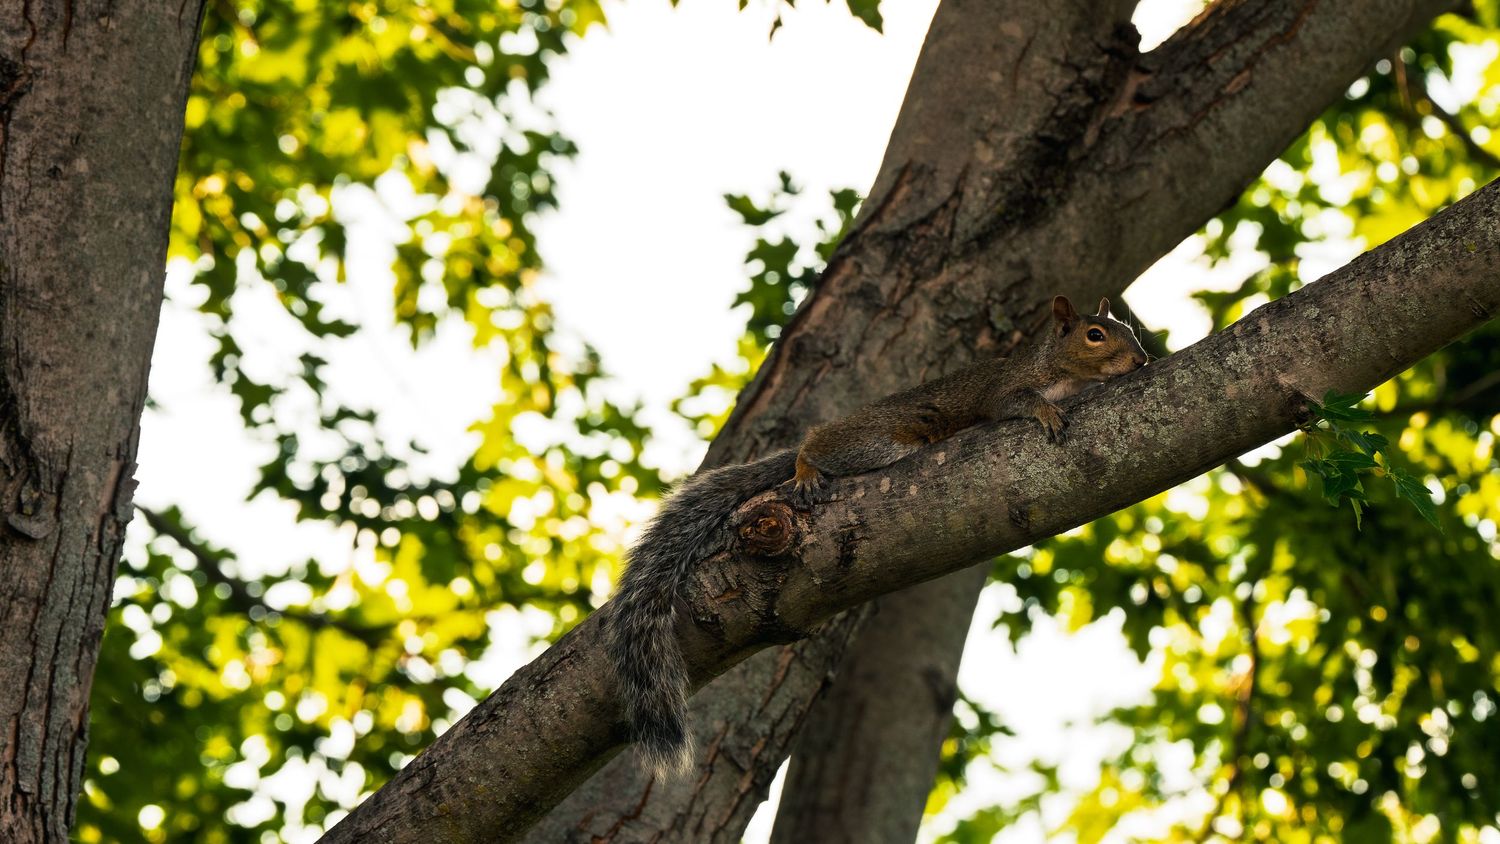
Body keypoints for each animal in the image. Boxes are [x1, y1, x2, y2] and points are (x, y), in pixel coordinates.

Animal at [605, 295, 1148, 779]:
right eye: (1094, 334)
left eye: (1130, 329)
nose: (1141, 360)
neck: (1062, 371)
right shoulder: (1004, 389)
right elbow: (1017, 402)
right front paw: (1046, 413)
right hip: (879, 440)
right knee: (816, 443)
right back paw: (805, 467)